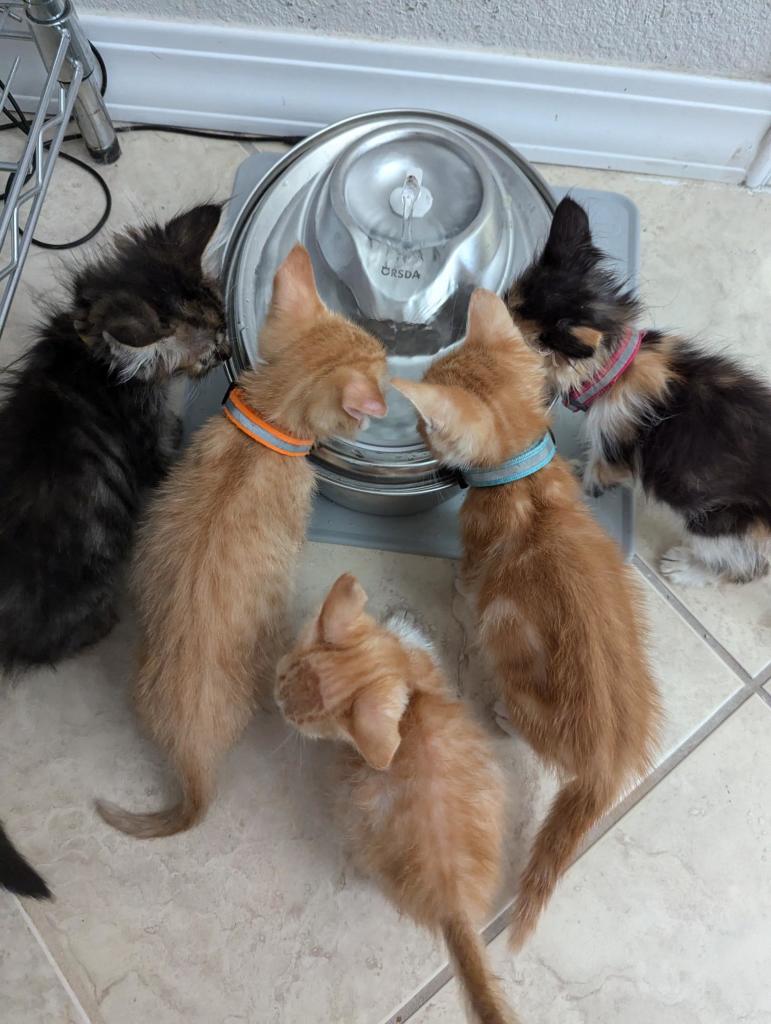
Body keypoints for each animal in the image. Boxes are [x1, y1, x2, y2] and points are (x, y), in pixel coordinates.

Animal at [505, 196, 769, 589]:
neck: (615, 369)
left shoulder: (614, 454)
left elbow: (596, 473)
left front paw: (576, 475)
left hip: (723, 525)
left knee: (744, 567)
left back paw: (685, 569)